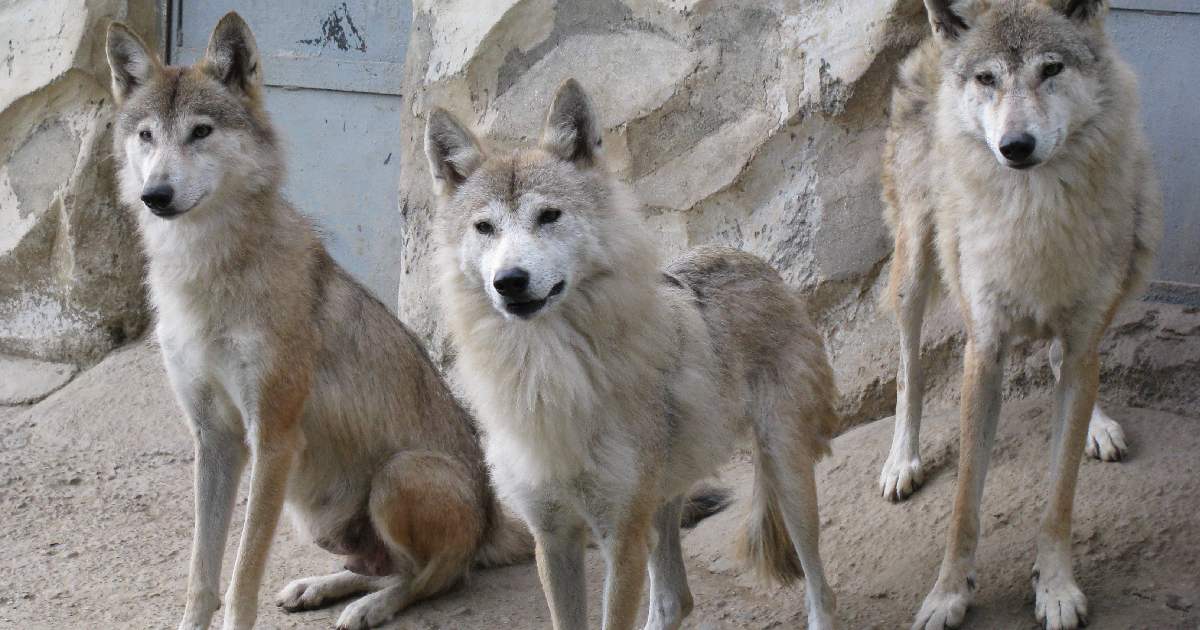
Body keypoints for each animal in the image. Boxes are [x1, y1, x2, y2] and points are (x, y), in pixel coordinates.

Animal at [104, 12, 535, 624]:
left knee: (437, 577)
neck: (203, 272)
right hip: (317, 517)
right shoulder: (213, 440)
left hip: (397, 476)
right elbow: (201, 573)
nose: (155, 195)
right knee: (382, 566)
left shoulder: (273, 439)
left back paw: (372, 608)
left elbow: (242, 574)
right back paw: (319, 587)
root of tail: (494, 522)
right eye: (146, 135)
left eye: (201, 132)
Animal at [427, 79, 849, 628]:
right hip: (664, 500)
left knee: (819, 585)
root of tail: (751, 259)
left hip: (785, 472)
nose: (510, 281)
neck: (545, 372)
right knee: (675, 599)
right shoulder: (553, 539)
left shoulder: (620, 536)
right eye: (484, 228)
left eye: (548, 216)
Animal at [883, 1, 1161, 628]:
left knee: (1067, 362)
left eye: (1050, 69)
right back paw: (901, 460)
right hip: (914, 268)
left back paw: (1099, 425)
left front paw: (1055, 587)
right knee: (909, 370)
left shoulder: (1083, 338)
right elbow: (964, 498)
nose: (1015, 145)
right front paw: (948, 594)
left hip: (1135, 250)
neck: (1033, 211)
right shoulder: (983, 349)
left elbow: (1060, 492)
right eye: (987, 78)